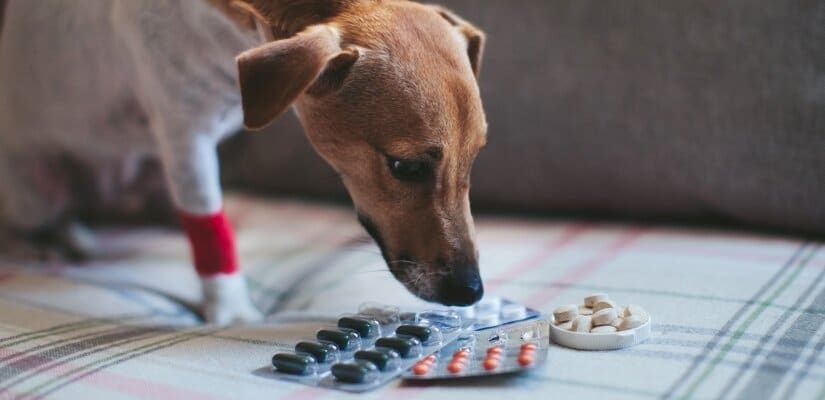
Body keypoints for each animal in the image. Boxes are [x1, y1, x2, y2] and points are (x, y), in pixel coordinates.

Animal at [0, 0, 486, 324]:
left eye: (475, 156)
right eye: (405, 167)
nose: (472, 292)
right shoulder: (187, 142)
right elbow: (209, 230)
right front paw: (231, 310)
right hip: (37, 189)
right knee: (37, 219)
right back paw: (46, 242)